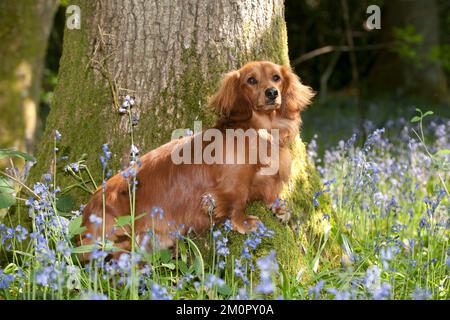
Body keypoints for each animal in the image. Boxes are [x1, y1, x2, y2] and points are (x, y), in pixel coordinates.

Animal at [79, 60, 312, 260]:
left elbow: (270, 193)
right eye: (251, 80)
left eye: (276, 77)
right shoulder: (234, 182)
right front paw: (244, 222)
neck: (260, 130)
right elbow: (236, 203)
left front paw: (279, 209)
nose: (272, 93)